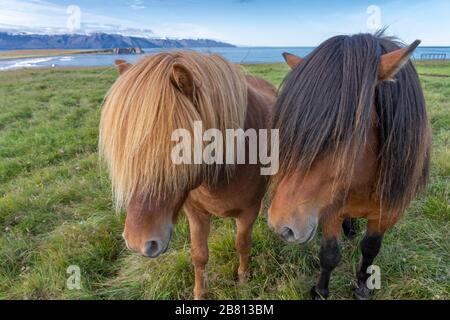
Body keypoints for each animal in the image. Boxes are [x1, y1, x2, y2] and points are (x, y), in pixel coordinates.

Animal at [99, 51, 274, 298]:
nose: (137, 243)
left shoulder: (249, 211)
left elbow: (242, 244)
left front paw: (243, 279)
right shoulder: (195, 213)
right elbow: (199, 255)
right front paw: (200, 293)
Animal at [268, 33, 430, 300]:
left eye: (344, 132)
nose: (281, 227)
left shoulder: (388, 212)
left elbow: (371, 248)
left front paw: (363, 285)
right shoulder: (330, 208)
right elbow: (330, 254)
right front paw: (321, 291)